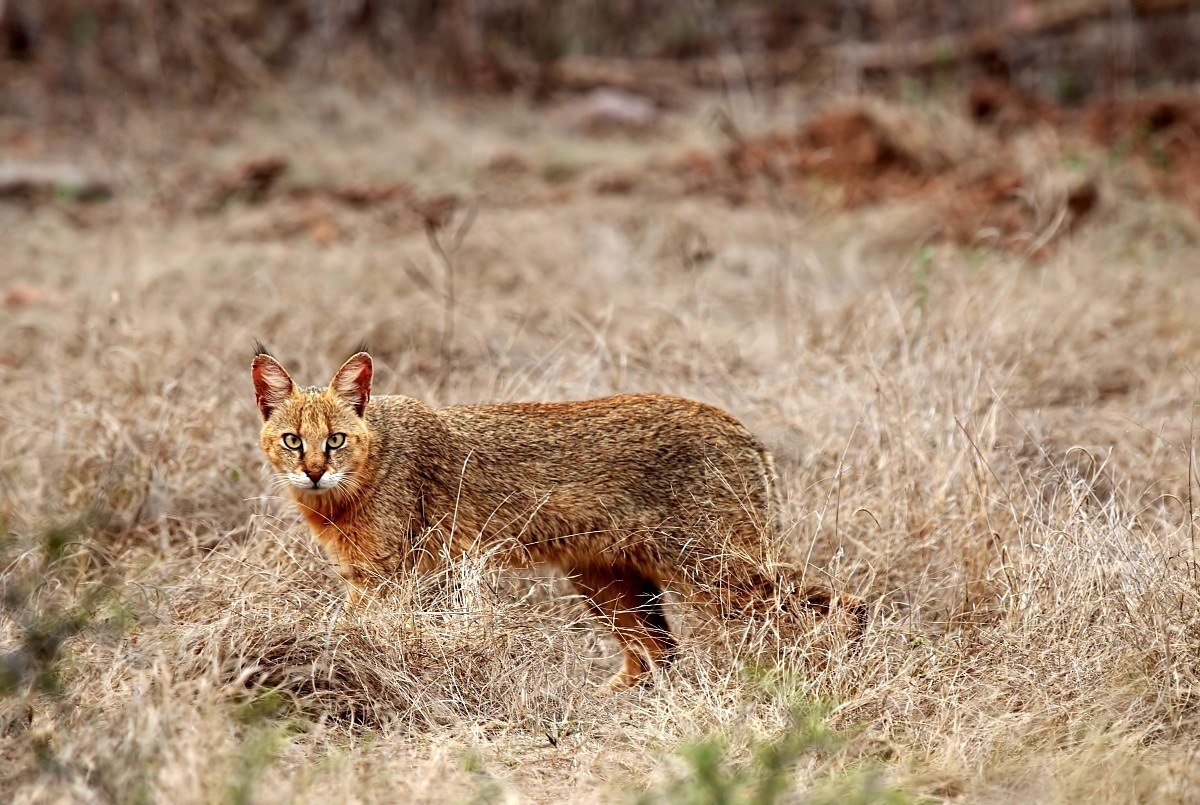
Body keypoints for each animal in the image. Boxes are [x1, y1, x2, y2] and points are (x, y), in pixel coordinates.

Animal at [250, 343, 864, 691]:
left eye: (335, 440)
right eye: (291, 440)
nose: (312, 471)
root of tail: (741, 428)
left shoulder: (384, 577)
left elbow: (350, 634)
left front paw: (330, 665)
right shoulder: (408, 577)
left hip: (714, 569)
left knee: (841, 601)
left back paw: (833, 672)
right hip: (606, 579)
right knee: (660, 651)